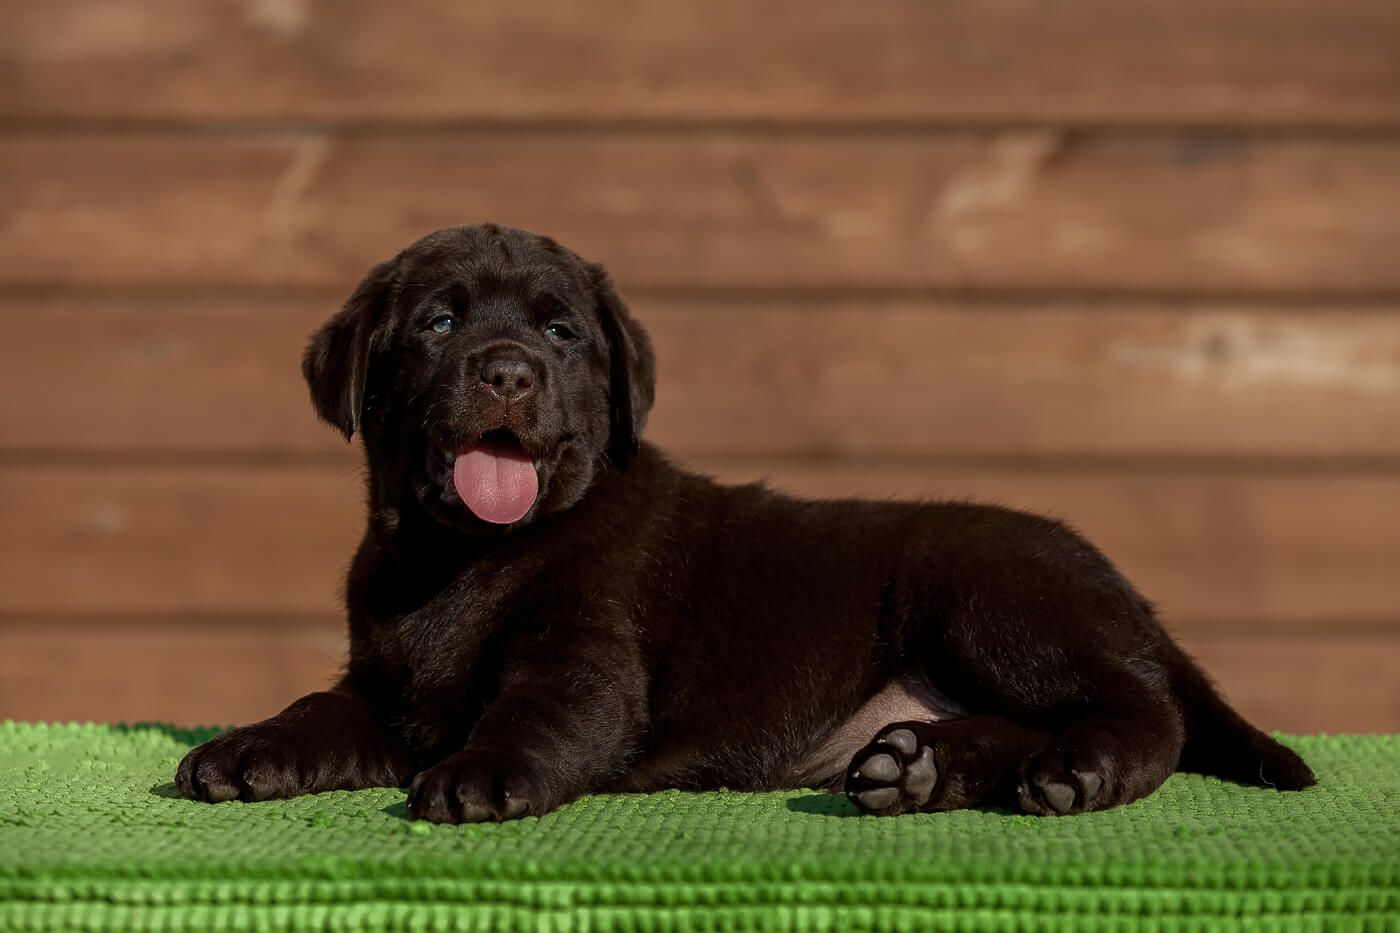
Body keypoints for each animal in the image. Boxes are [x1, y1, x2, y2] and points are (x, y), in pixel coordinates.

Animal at [176, 223, 1314, 822]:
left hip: (995, 597)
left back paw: (1079, 769)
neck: (461, 558)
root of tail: (1128, 595)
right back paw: (917, 765)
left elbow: (533, 715)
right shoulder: (381, 680)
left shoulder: (585, 658)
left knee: (1143, 708)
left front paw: (479, 776)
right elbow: (317, 710)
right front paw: (247, 747)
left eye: (560, 332)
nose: (507, 371)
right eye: (438, 322)